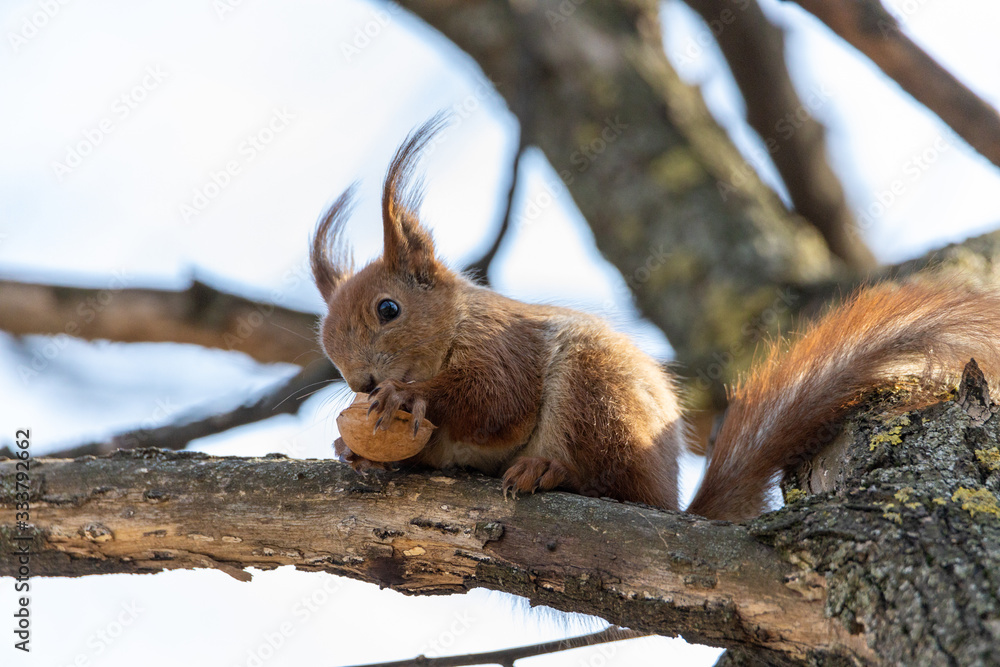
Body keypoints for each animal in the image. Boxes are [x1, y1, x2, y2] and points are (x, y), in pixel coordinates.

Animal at [311, 118, 1000, 522]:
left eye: (389, 310)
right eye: (325, 344)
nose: (361, 384)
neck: (454, 326)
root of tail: (674, 502)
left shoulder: (501, 346)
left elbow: (494, 401)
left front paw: (410, 397)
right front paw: (354, 449)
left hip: (596, 391)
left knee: (611, 484)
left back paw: (550, 470)